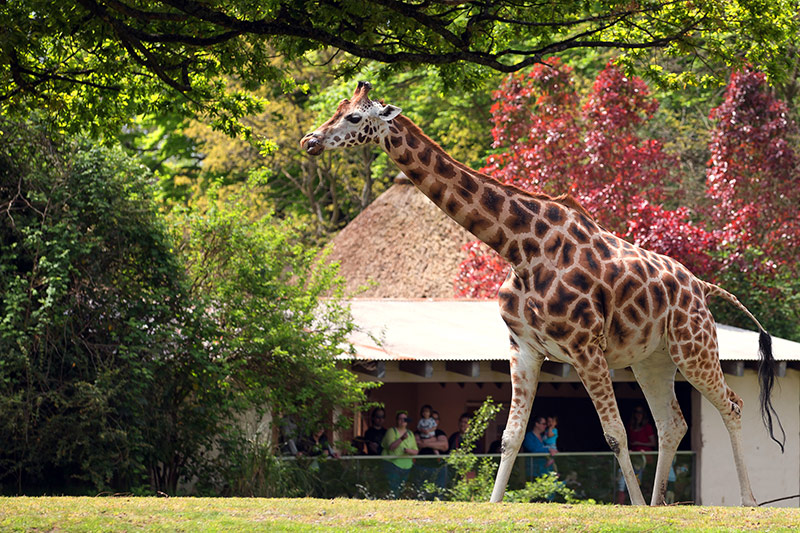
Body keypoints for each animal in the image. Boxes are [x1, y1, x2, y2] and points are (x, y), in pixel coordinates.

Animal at [300, 81, 785, 506]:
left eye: (355, 116)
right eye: (337, 108)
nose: (310, 140)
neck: (519, 246)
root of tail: (701, 286)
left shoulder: (586, 349)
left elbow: (615, 435)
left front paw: (633, 509)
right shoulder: (523, 347)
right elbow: (511, 436)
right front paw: (495, 506)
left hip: (694, 347)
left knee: (733, 406)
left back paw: (745, 501)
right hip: (653, 360)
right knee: (672, 424)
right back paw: (660, 503)